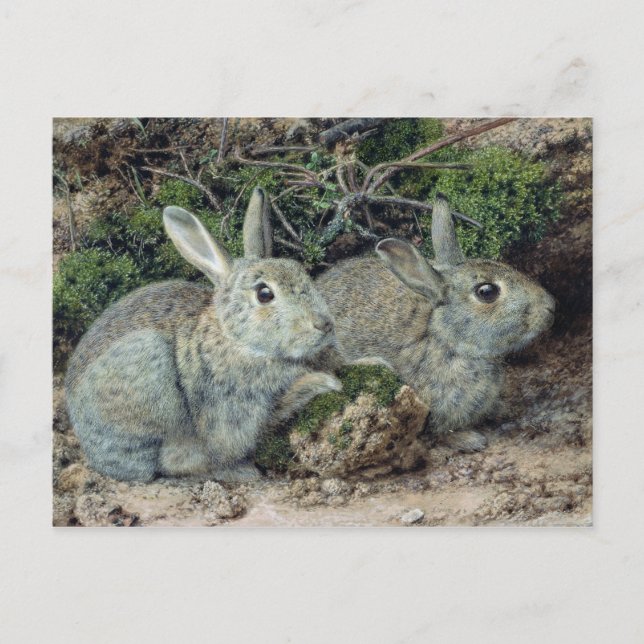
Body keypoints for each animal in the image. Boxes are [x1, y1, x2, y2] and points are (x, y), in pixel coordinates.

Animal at [65, 187, 341, 482]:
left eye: (301, 272)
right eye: (264, 294)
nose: (324, 324)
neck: (236, 340)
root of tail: (91, 451)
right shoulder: (233, 409)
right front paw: (324, 383)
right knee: (173, 462)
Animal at [316, 194, 555, 452]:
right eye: (487, 292)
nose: (550, 306)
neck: (444, 338)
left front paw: (503, 409)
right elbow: (441, 435)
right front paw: (471, 440)